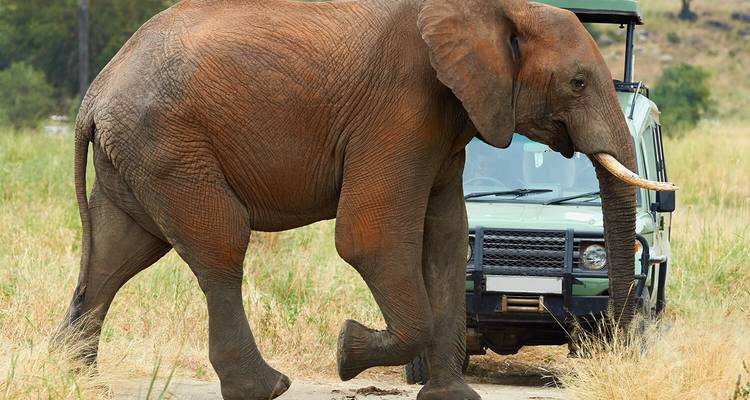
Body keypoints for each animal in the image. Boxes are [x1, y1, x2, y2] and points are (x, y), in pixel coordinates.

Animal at [59, 0, 676, 399]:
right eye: (577, 83)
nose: (624, 340)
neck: (497, 7)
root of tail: (95, 92)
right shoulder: (401, 107)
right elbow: (370, 238)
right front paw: (344, 350)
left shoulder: (445, 121)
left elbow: (446, 239)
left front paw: (452, 397)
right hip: (169, 145)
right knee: (219, 247)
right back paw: (266, 387)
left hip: (136, 156)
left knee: (116, 255)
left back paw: (74, 375)